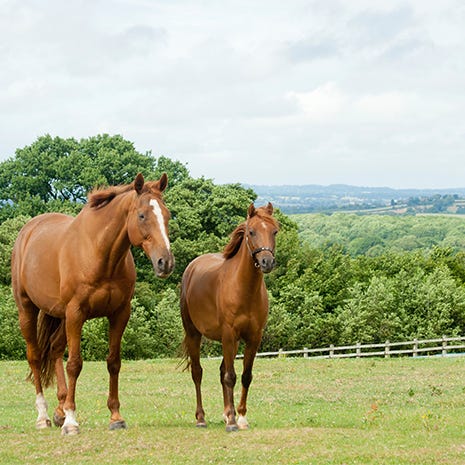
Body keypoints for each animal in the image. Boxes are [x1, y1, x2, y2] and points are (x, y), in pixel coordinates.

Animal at [10, 172, 174, 434]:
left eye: (167, 215)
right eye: (141, 215)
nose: (165, 262)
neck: (100, 254)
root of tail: (28, 230)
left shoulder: (119, 313)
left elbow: (114, 362)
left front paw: (115, 416)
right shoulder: (76, 313)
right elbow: (74, 364)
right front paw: (72, 421)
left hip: (61, 317)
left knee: (55, 349)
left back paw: (59, 410)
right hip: (28, 309)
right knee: (35, 357)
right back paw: (43, 416)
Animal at [179, 203, 278, 432]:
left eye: (274, 231)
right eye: (252, 232)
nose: (267, 261)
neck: (244, 290)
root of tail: (192, 267)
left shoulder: (253, 338)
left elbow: (245, 376)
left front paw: (240, 417)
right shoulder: (229, 335)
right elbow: (230, 377)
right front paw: (233, 421)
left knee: (222, 370)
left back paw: (226, 413)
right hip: (194, 334)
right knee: (197, 373)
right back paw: (201, 418)